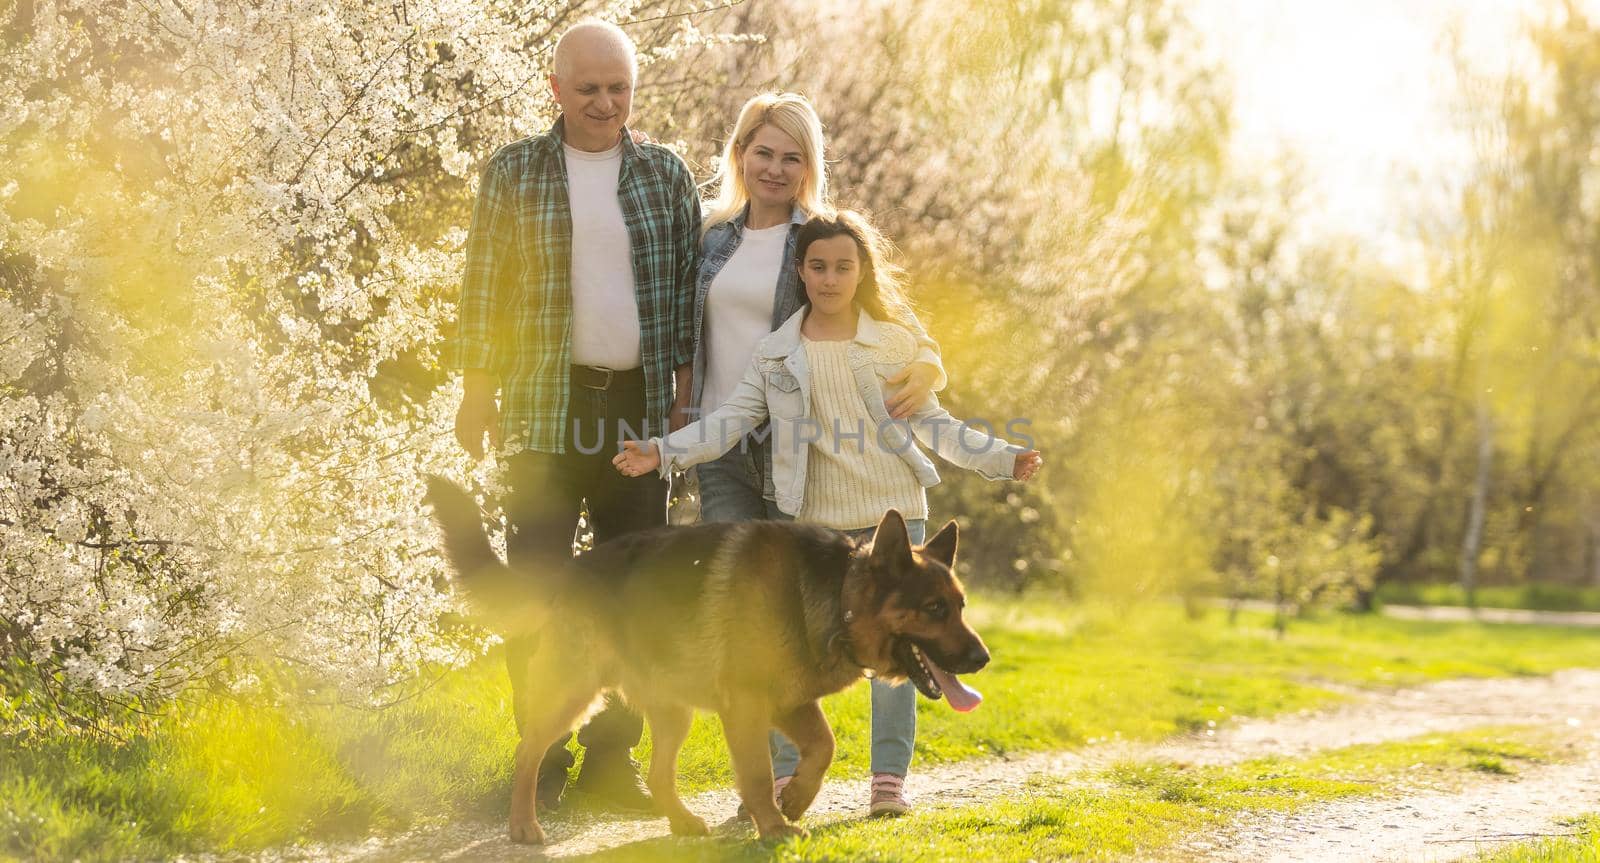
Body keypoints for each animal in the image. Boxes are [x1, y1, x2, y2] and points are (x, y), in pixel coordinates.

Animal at [432, 480, 992, 845]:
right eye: (934, 609)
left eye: (961, 606)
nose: (983, 658)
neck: (840, 596)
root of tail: (570, 569)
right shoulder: (746, 706)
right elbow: (758, 773)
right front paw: (773, 826)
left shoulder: (789, 703)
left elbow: (824, 747)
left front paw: (796, 800)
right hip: (573, 694)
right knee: (528, 750)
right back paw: (523, 824)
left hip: (672, 713)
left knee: (659, 775)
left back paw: (680, 822)